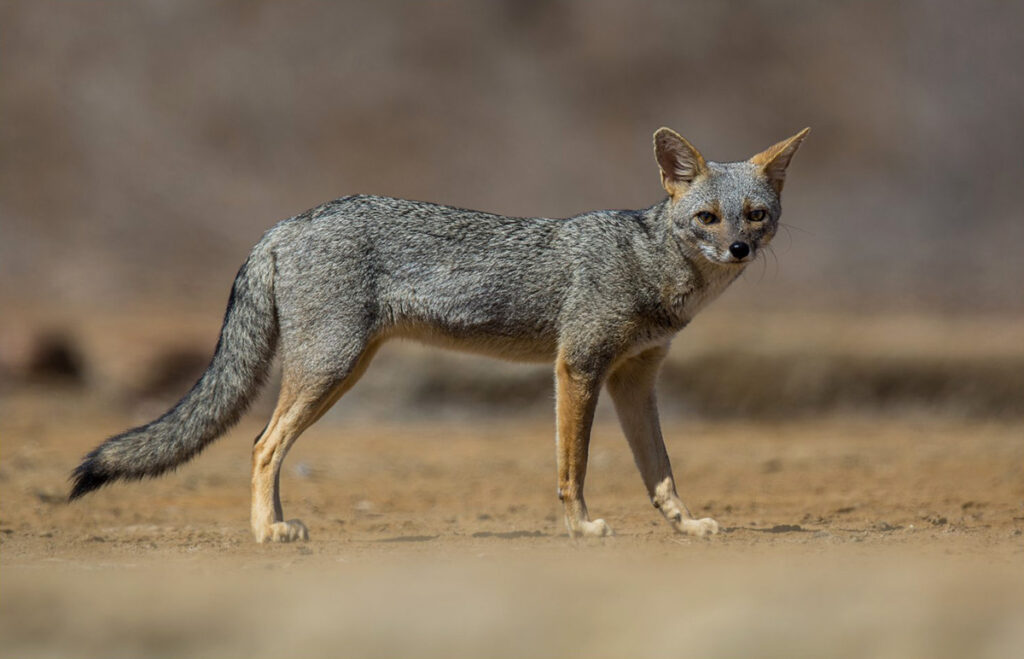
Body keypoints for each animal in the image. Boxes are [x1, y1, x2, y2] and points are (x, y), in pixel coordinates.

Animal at [70, 127, 809, 543]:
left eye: (755, 214)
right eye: (707, 217)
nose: (739, 249)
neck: (650, 262)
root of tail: (286, 222)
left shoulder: (634, 381)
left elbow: (661, 472)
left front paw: (686, 524)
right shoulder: (577, 367)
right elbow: (572, 468)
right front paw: (580, 527)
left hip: (344, 371)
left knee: (262, 443)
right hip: (330, 371)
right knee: (260, 445)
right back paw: (266, 531)